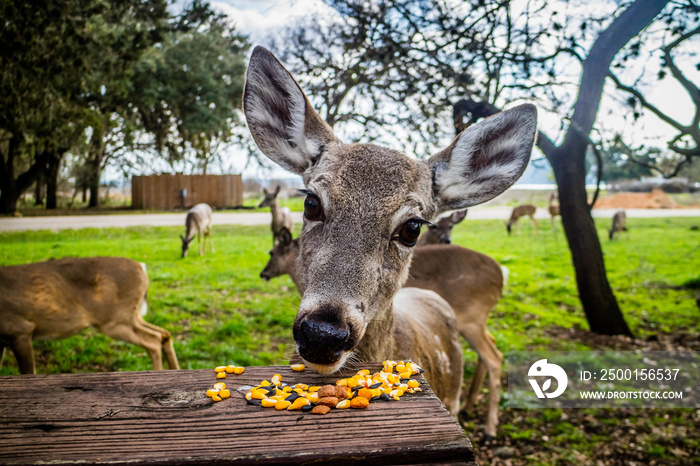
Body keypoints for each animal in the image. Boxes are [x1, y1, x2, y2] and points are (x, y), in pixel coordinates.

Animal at [0, 256, 180, 374]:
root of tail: (142, 268)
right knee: (163, 333)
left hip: (114, 320)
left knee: (153, 340)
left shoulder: (20, 330)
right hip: (130, 316)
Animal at [262, 228, 508, 438]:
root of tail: (501, 274)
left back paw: (489, 428)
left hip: (472, 318)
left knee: (494, 356)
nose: (263, 273)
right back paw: (470, 406)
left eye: (272, 252)